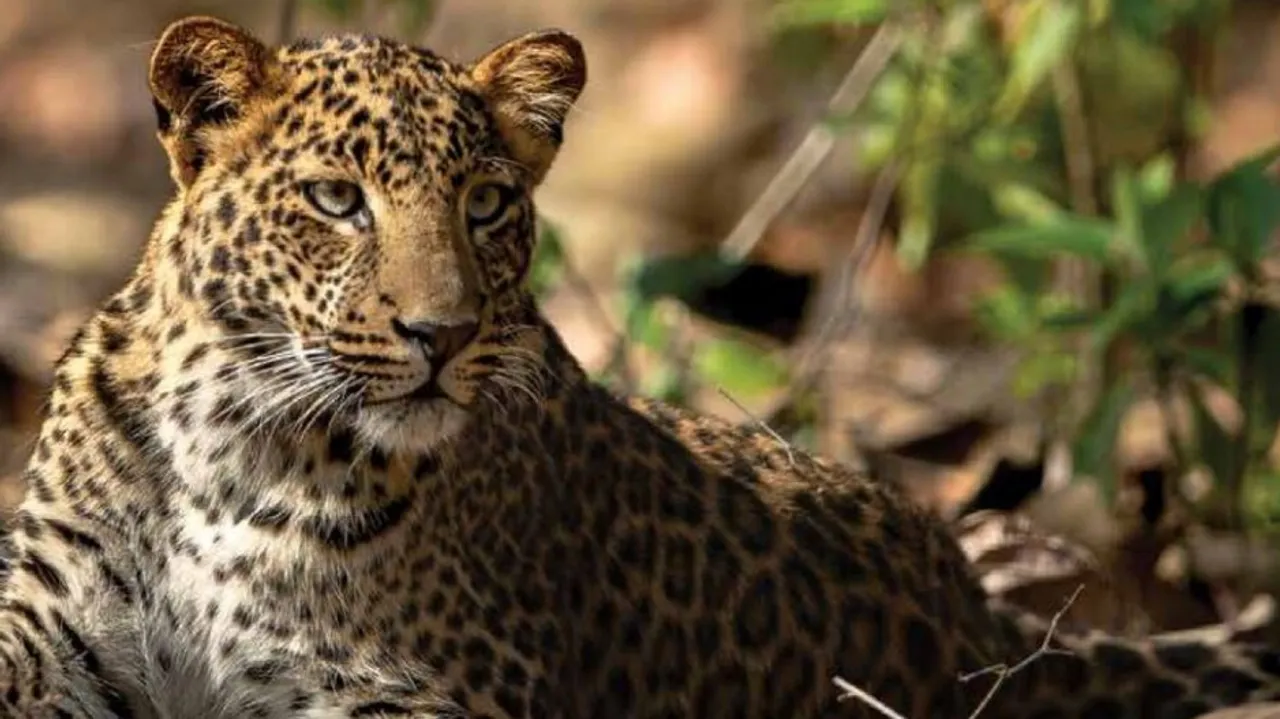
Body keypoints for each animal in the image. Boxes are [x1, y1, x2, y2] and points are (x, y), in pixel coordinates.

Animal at [0, 13, 1278, 719]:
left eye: (484, 204)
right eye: (334, 200)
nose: (440, 334)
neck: (234, 431)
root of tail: (984, 625)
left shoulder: (410, 687)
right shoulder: (51, 628)